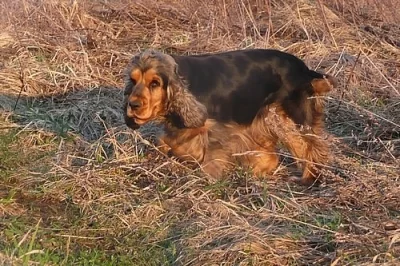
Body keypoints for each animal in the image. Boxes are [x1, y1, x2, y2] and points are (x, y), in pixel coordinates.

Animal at [123, 48, 336, 186]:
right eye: (133, 81)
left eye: (155, 83)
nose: (132, 105)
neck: (183, 82)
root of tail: (304, 69)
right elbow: (166, 142)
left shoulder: (216, 131)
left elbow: (210, 162)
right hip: (266, 117)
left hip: (292, 117)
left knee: (311, 146)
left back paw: (309, 179)